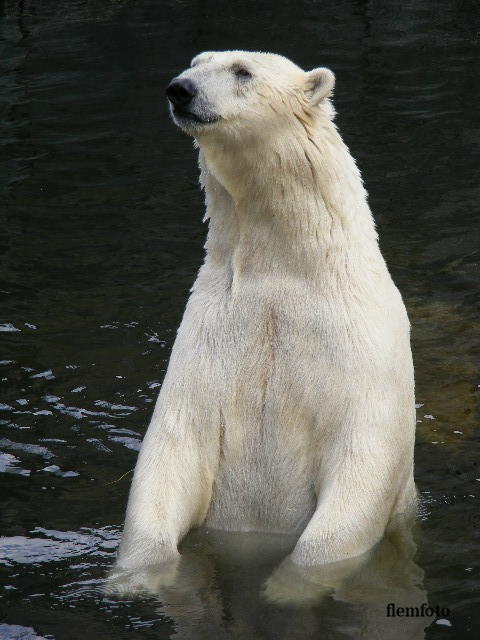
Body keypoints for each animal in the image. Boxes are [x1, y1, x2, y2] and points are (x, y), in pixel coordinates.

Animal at [116, 50, 416, 568]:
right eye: (196, 62)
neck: (287, 272)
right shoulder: (210, 339)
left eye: (242, 71)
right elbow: (172, 453)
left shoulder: (362, 350)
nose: (180, 89)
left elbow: (362, 467)